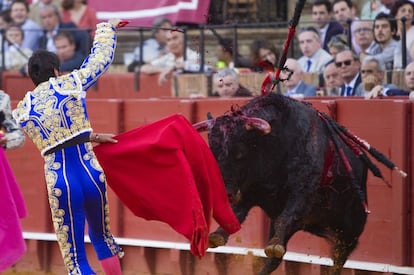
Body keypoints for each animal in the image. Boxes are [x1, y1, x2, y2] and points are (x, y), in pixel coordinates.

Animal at [194, 93, 404, 275]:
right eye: (211, 151)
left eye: (240, 152)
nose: (224, 193)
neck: (273, 146)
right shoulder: (248, 192)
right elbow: (236, 214)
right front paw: (216, 235)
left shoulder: (302, 194)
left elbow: (285, 217)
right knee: (275, 259)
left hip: (351, 228)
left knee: (339, 257)